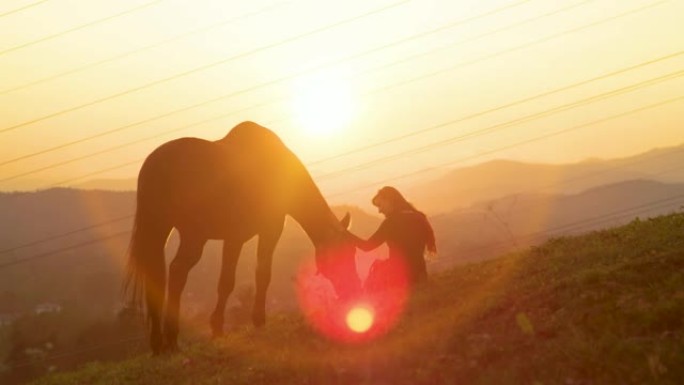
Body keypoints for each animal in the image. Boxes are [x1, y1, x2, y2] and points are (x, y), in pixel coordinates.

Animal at [127, 121, 364, 352]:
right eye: (342, 255)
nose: (354, 290)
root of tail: (155, 165)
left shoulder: (236, 239)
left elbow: (232, 280)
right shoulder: (259, 233)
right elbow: (251, 276)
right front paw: (246, 322)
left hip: (159, 229)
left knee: (157, 274)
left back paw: (157, 341)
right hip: (193, 235)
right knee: (177, 271)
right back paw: (171, 337)